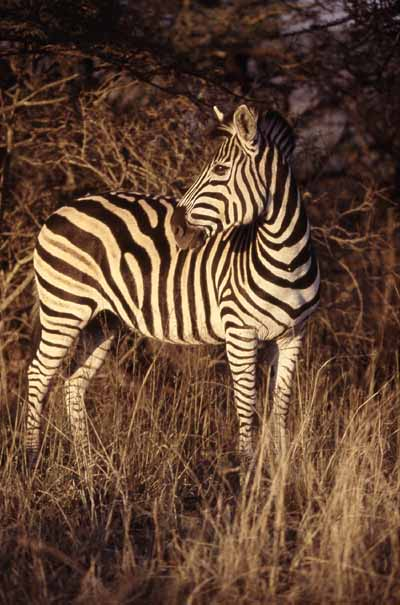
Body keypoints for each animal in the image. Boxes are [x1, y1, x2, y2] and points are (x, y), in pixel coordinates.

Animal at [26, 104, 320, 468]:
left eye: (220, 169)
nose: (177, 228)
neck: (285, 256)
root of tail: (58, 211)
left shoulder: (293, 336)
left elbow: (280, 408)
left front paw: (281, 470)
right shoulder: (240, 333)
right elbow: (246, 405)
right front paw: (245, 469)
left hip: (102, 322)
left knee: (73, 384)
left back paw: (88, 467)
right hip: (64, 309)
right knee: (38, 375)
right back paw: (31, 460)